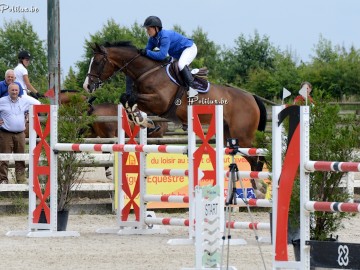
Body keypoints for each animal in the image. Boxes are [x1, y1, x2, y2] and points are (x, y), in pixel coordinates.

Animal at [83, 42, 268, 197]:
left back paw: (259, 187)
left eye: (98, 62)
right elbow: (127, 99)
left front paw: (142, 120)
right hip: (229, 135)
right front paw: (142, 120)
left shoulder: (160, 102)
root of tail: (251, 97)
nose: (87, 86)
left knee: (257, 156)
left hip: (243, 135)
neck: (147, 72)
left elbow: (130, 97)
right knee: (251, 157)